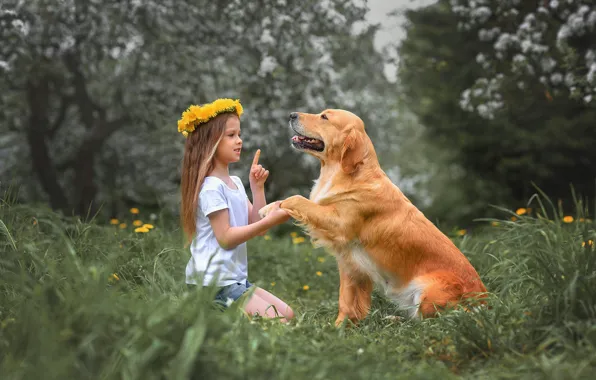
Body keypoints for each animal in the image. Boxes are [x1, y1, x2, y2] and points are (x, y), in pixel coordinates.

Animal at [258, 108, 486, 326]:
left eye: (324, 117)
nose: (291, 114)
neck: (346, 173)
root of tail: (485, 303)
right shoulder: (351, 265)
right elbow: (346, 301)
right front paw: (339, 327)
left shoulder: (340, 224)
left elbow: (298, 199)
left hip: (429, 291)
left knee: (432, 323)